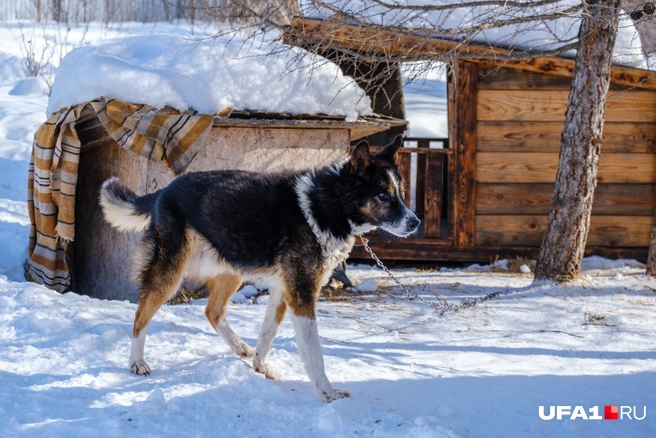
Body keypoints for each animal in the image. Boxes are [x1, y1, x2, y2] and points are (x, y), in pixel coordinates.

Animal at [100, 135, 422, 402]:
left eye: (400, 193)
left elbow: (268, 334)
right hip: (170, 273)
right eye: (383, 195)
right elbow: (314, 353)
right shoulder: (302, 293)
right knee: (141, 315)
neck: (326, 206)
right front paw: (327, 392)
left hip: (231, 269)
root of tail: (164, 191)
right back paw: (136, 362)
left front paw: (259, 364)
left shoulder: (283, 290)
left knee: (212, 311)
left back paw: (240, 346)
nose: (416, 222)